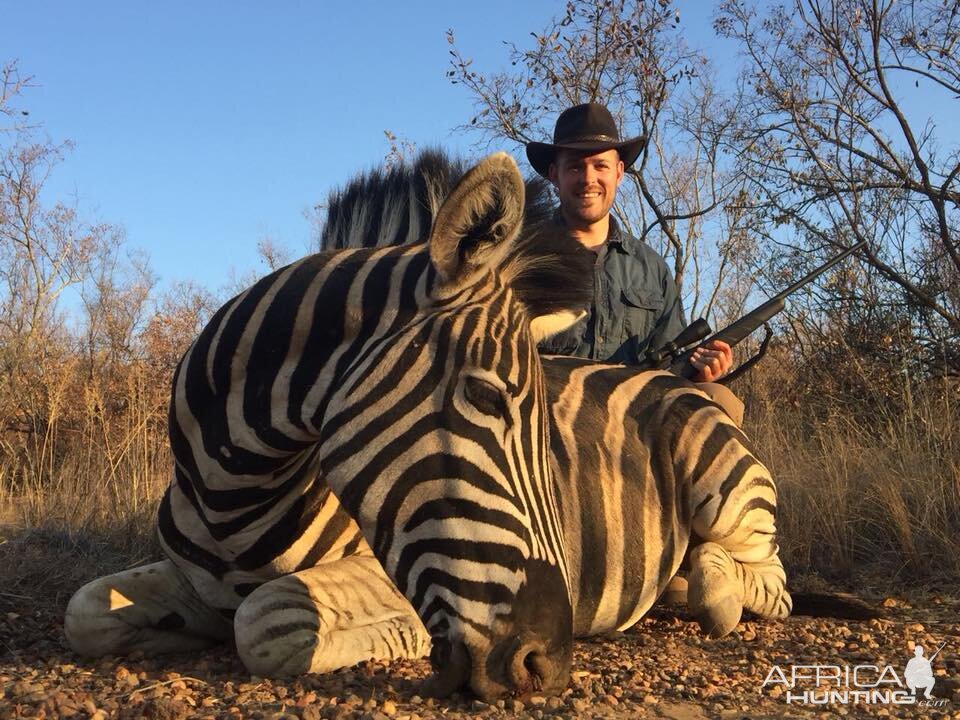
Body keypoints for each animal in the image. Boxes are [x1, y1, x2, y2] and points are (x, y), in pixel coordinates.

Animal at [63, 148, 792, 704]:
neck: (232, 501)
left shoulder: (378, 570)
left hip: (726, 486)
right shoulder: (185, 579)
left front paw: (394, 637)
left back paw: (716, 588)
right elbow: (86, 613)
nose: (547, 667)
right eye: (485, 397)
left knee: (764, 583)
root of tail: (675, 380)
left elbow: (267, 621)